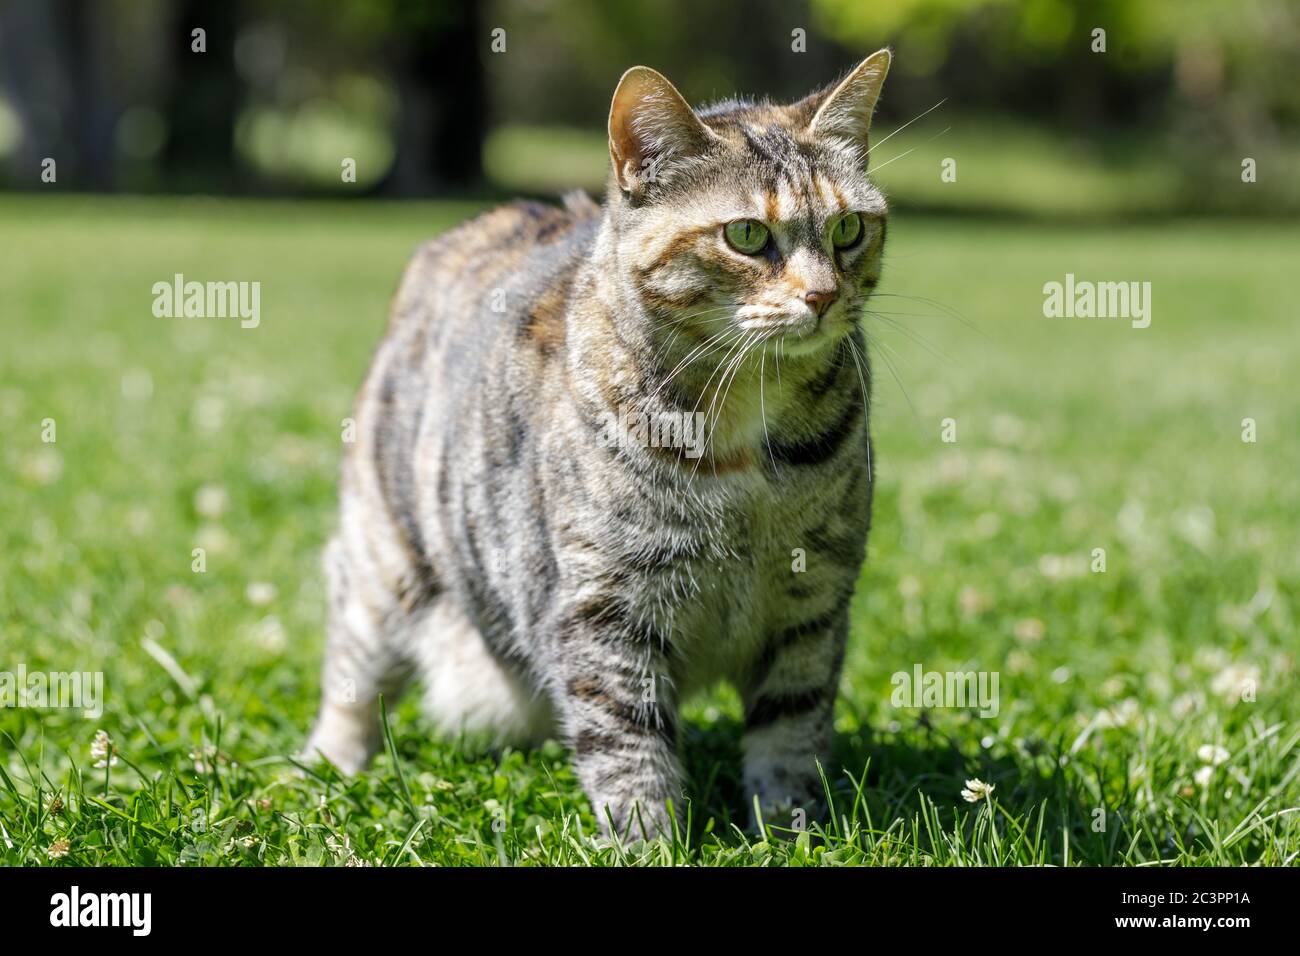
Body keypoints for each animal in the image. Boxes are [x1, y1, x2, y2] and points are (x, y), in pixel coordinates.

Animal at [304, 48, 894, 837]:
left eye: (849, 229)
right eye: (746, 235)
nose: (824, 295)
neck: (745, 435)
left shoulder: (815, 604)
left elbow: (791, 732)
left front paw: (792, 830)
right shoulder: (604, 606)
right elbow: (627, 741)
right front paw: (650, 839)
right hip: (385, 560)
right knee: (352, 674)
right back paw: (325, 767)